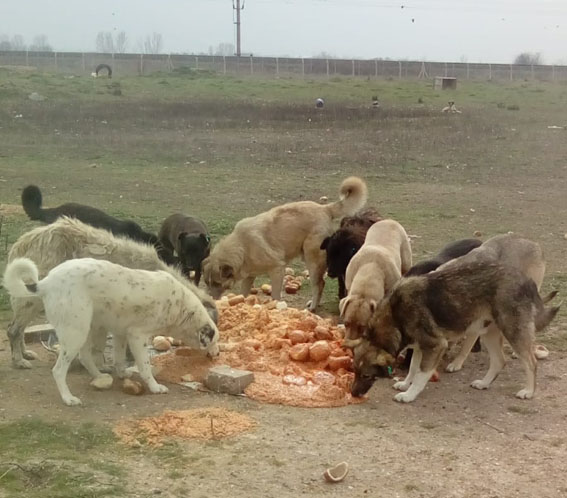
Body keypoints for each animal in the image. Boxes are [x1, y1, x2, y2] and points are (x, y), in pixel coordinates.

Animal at [2, 258, 220, 406]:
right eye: (215, 340)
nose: (218, 355)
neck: (180, 307)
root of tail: (45, 282)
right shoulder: (138, 336)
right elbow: (145, 367)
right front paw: (155, 387)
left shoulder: (120, 333)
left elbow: (119, 359)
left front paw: (121, 373)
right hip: (76, 332)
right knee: (59, 370)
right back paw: (68, 398)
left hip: (90, 327)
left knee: (85, 357)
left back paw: (100, 375)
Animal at [6, 218, 217, 370]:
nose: (215, 355)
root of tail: (23, 242)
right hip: (31, 299)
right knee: (13, 329)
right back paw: (18, 360)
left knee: (19, 328)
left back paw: (25, 353)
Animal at [204, 175, 368, 308]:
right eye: (207, 283)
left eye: (217, 283)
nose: (210, 300)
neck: (243, 246)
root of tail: (324, 208)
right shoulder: (249, 276)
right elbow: (243, 294)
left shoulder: (277, 269)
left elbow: (276, 295)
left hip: (312, 261)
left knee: (319, 285)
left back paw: (313, 307)